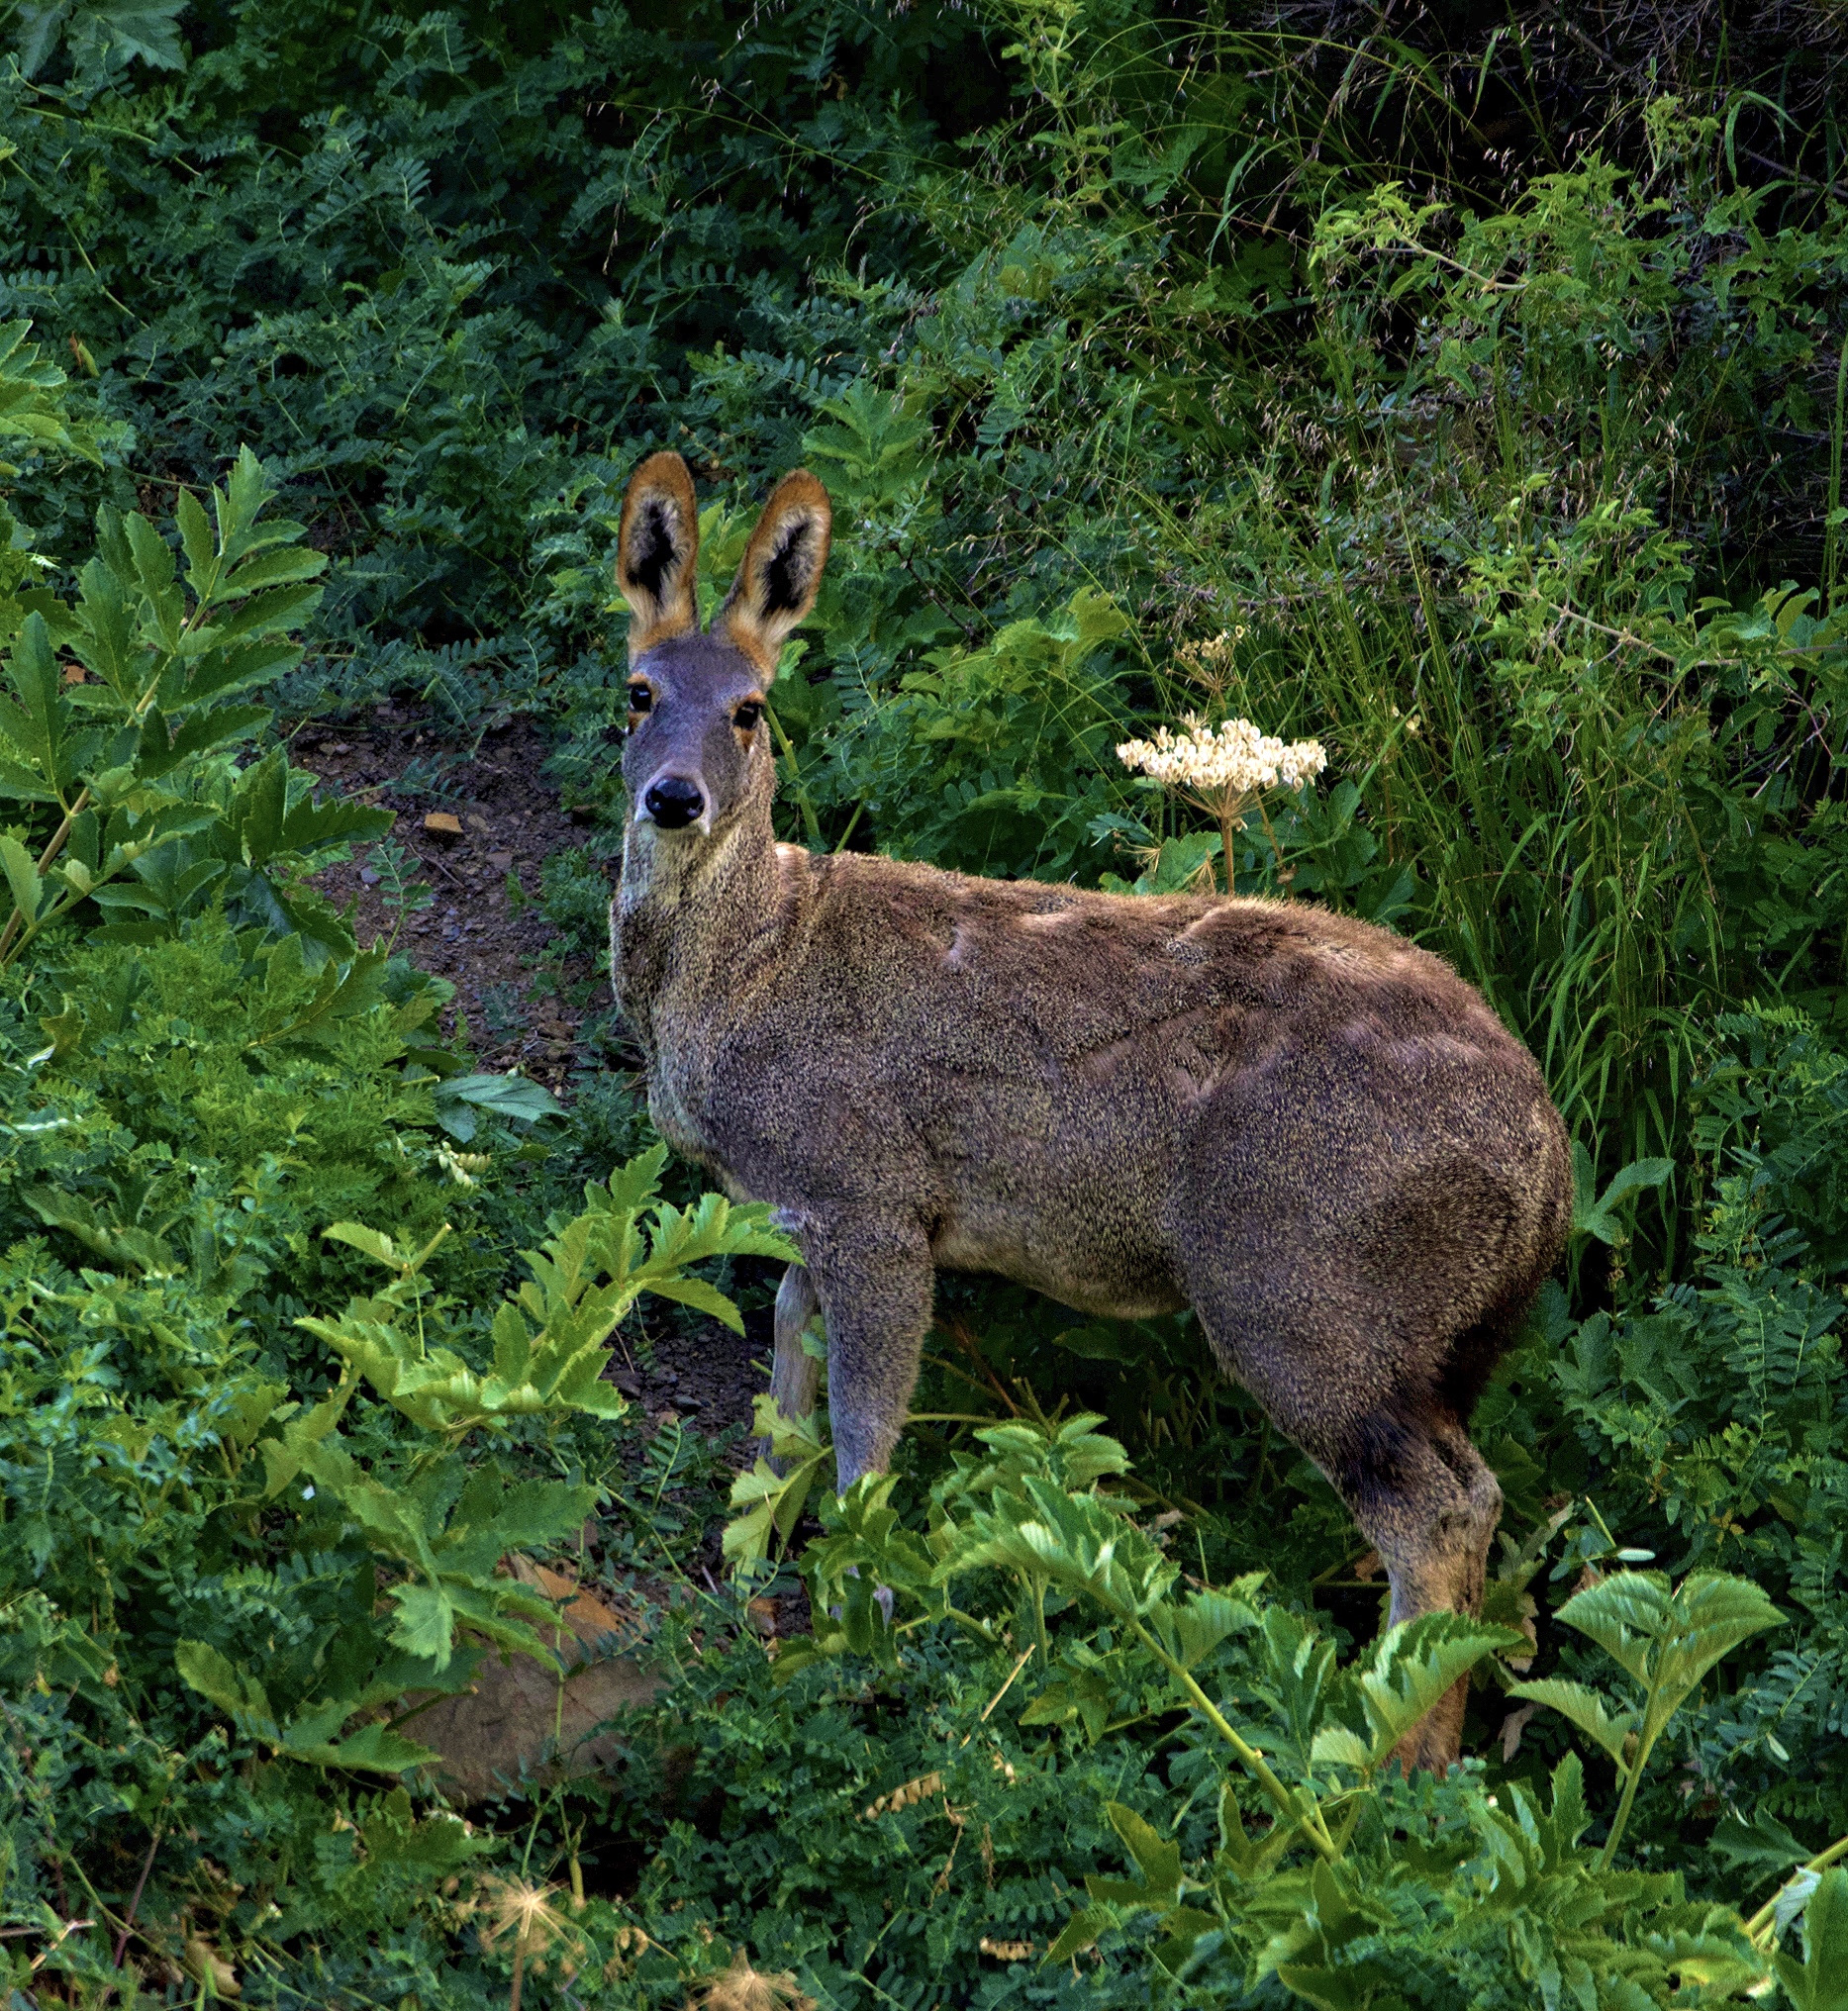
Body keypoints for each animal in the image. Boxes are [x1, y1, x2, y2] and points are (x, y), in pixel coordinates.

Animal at [607, 450, 1573, 1771]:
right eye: (637, 690)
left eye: (751, 709)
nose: (673, 797)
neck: (750, 970)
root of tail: (1547, 1168)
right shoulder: (797, 1215)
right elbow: (782, 1407)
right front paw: (741, 1562)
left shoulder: (873, 1199)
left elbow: (863, 1434)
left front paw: (867, 1625)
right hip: (1427, 1338)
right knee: (1474, 1492)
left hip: (1296, 1285)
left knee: (1430, 1511)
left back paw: (1380, 1767)